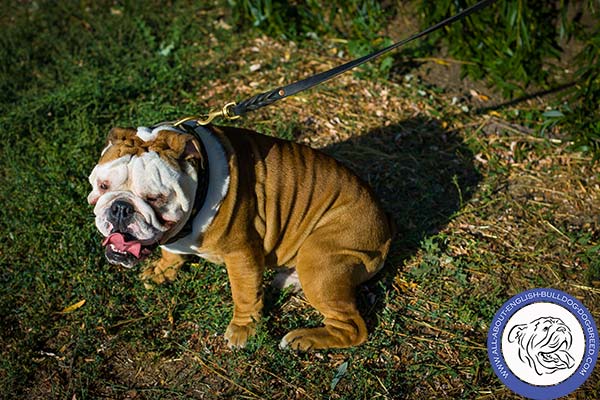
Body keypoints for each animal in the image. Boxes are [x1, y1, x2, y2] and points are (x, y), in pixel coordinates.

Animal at [85, 122, 394, 350]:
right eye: (103, 185)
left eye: (155, 198)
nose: (121, 208)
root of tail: (385, 229)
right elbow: (170, 252)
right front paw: (162, 270)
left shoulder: (240, 253)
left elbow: (244, 293)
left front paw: (243, 329)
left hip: (320, 259)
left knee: (353, 328)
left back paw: (303, 339)